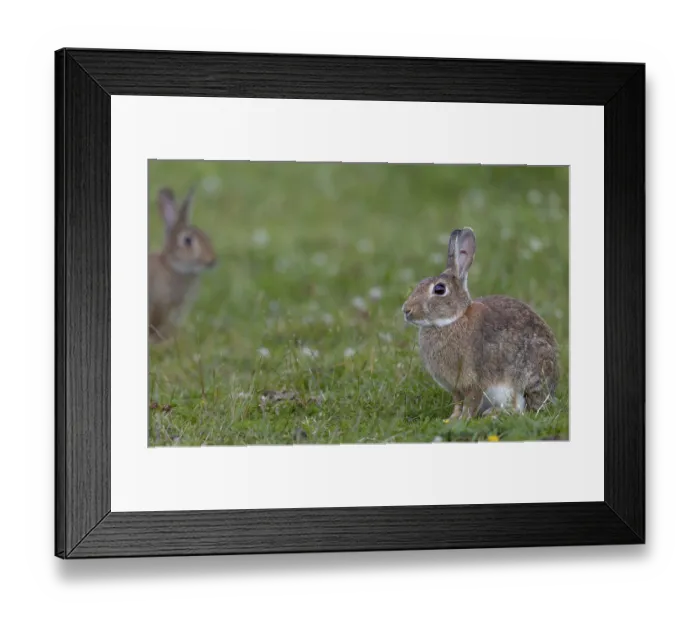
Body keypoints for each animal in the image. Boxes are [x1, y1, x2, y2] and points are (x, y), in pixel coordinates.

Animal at [401, 227, 559, 422]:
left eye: (439, 289)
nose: (406, 310)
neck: (452, 320)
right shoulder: (456, 387)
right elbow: (458, 402)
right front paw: (452, 419)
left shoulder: (474, 380)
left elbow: (471, 402)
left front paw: (463, 420)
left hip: (524, 379)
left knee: (520, 408)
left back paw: (492, 414)